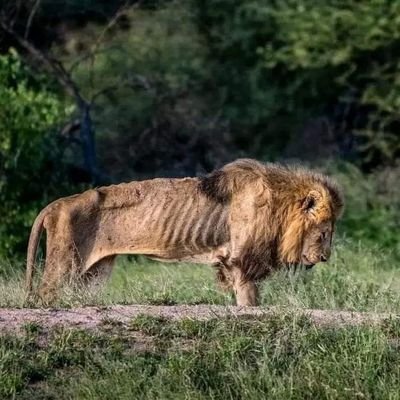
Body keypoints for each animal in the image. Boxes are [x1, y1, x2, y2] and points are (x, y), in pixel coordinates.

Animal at [25, 159, 344, 306]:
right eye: (324, 233)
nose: (325, 258)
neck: (280, 206)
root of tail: (56, 204)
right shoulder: (243, 261)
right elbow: (250, 301)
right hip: (64, 264)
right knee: (44, 295)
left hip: (93, 273)